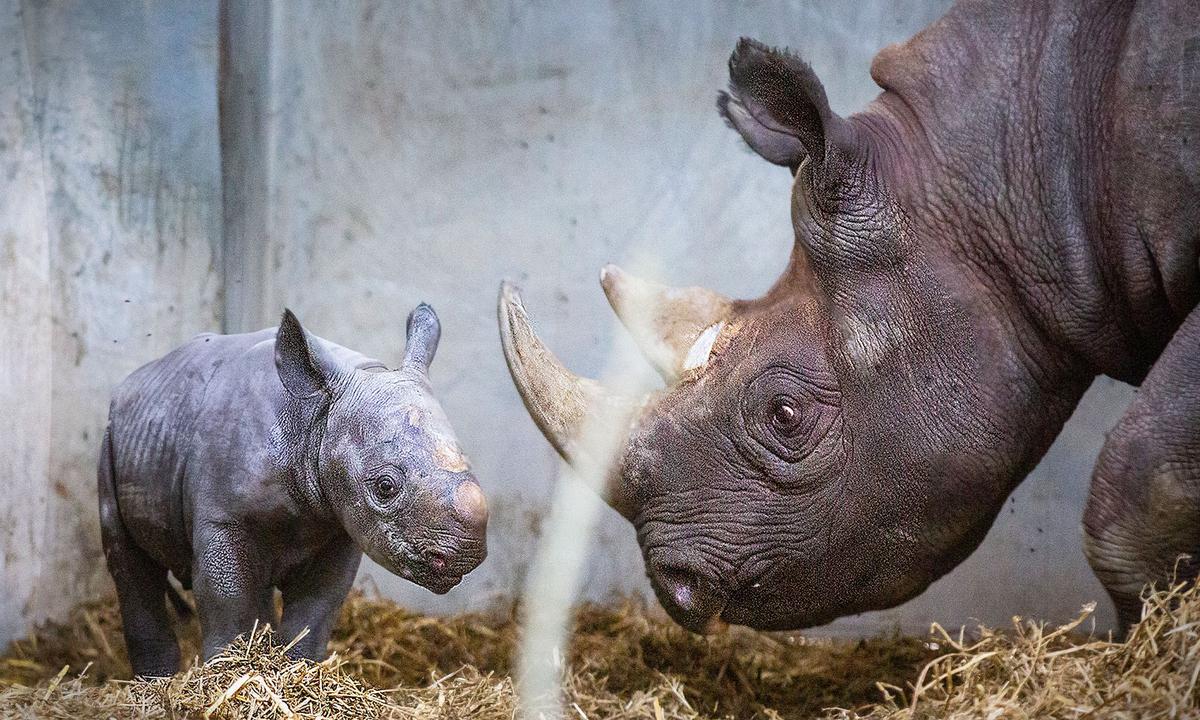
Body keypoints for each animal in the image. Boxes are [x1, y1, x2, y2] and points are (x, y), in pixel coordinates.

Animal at [99, 306, 488, 676]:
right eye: (385, 487)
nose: (464, 555)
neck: (317, 419)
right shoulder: (223, 520)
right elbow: (228, 600)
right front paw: (228, 671)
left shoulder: (338, 525)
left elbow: (316, 608)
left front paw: (294, 670)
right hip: (112, 437)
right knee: (130, 563)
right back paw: (155, 682)